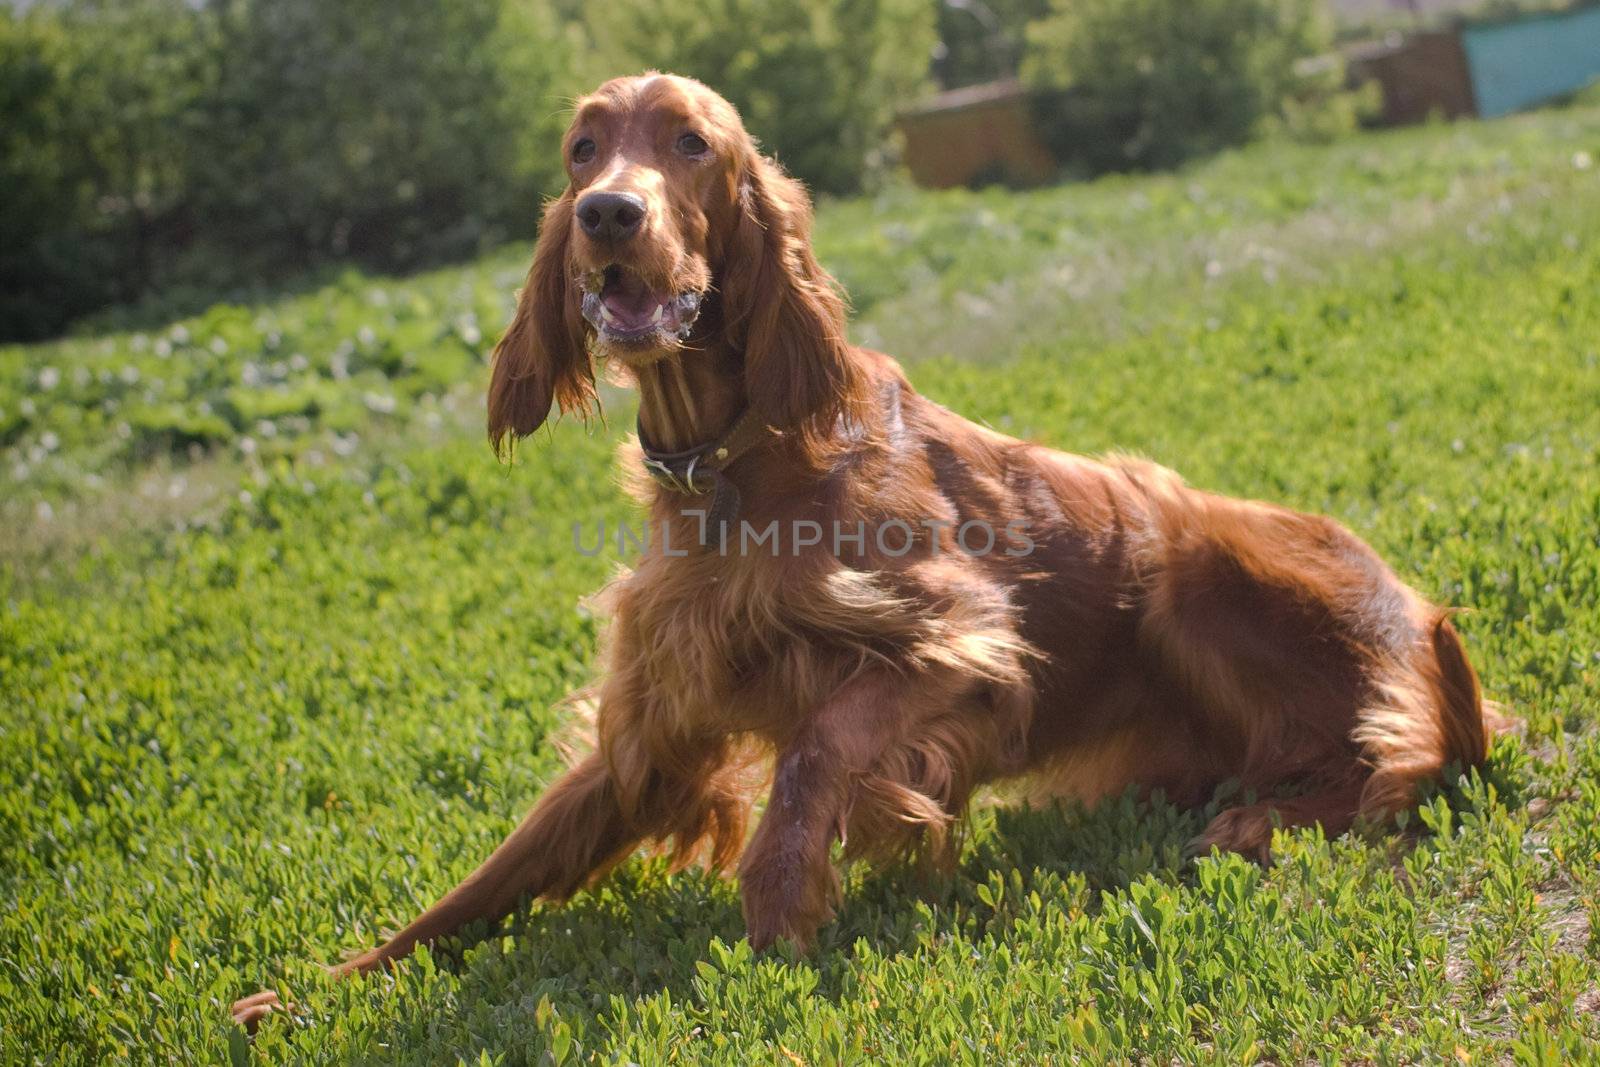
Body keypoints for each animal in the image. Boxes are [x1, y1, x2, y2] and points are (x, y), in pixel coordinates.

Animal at [233, 73, 1497, 1023]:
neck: (731, 466)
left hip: (1180, 555)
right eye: (581, 150)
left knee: (1391, 762)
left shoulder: (965, 650)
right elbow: (481, 882)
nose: (607, 217)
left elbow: (817, 745)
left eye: (690, 144)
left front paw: (779, 905)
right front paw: (311, 993)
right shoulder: (647, 724)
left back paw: (1256, 820)